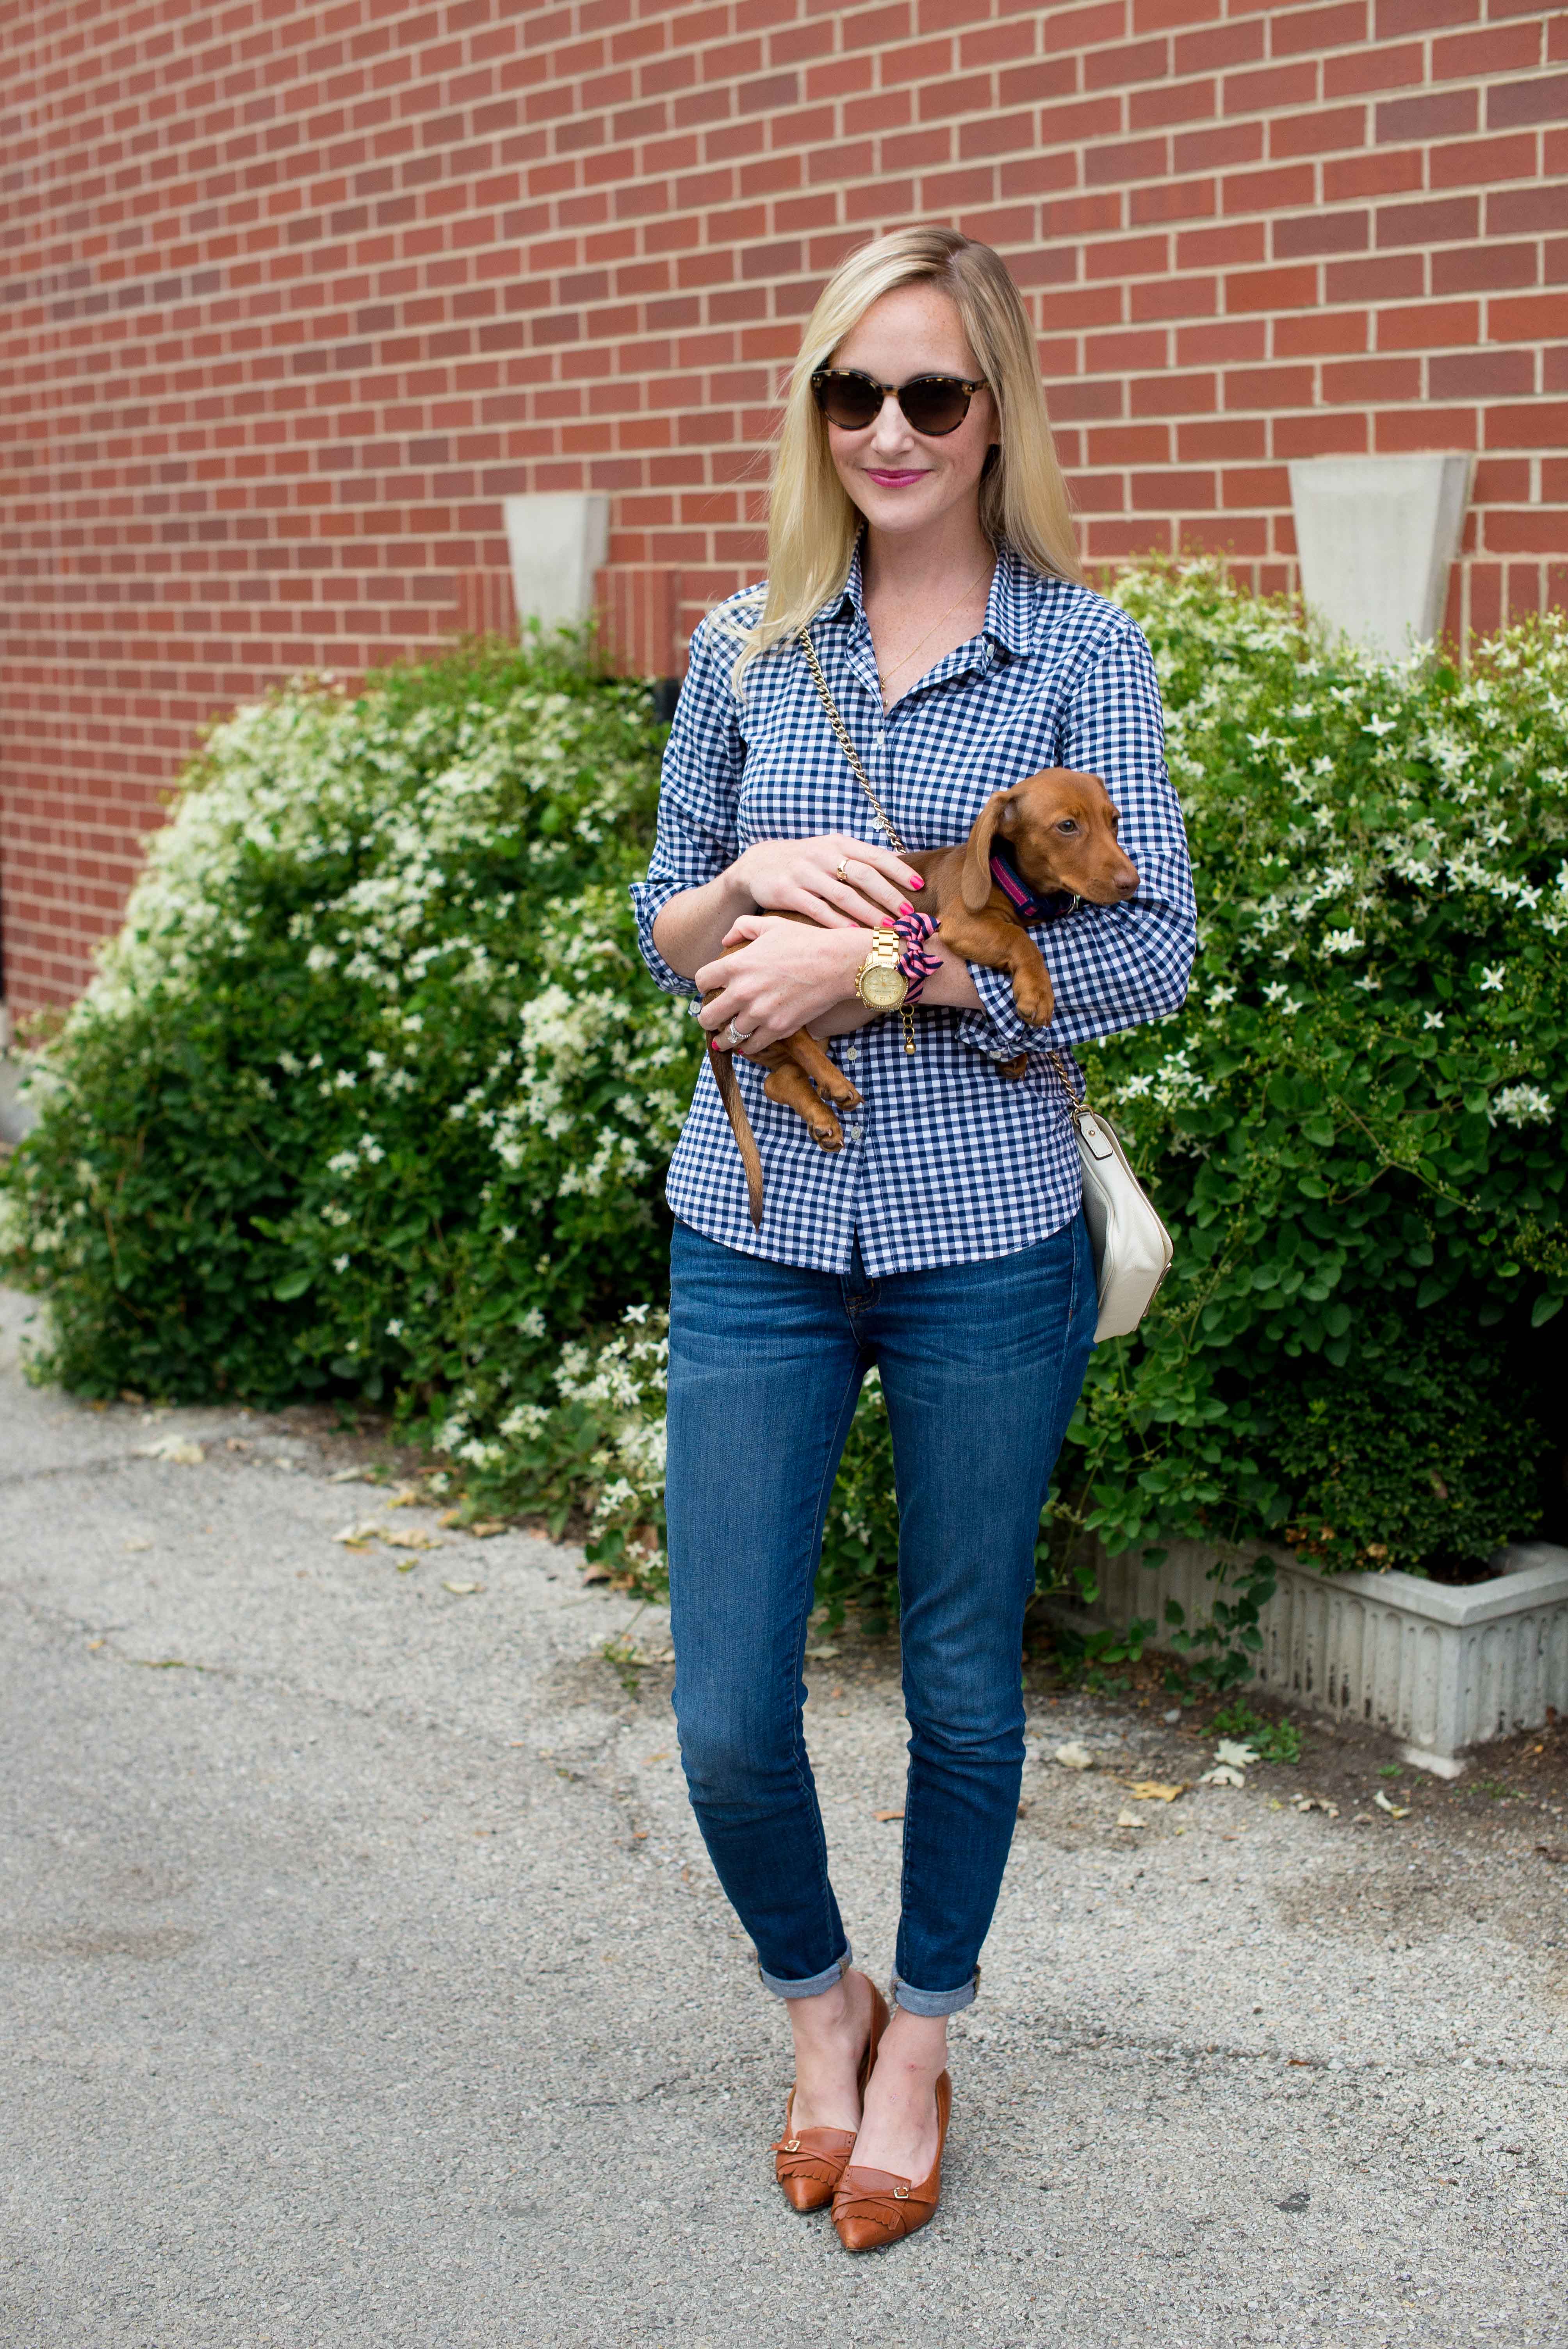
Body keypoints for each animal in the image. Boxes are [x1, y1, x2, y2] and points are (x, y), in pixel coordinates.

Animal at [709, 770, 1140, 1240]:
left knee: (779, 1080)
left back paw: (821, 1116)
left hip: (805, 1035)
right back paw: (836, 1084)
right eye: (1067, 826)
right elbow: (1020, 940)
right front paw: (1037, 993)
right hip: (778, 981)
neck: (1013, 882)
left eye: (1115, 821)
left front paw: (1016, 1053)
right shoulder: (963, 924)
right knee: (794, 1038)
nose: (1132, 883)